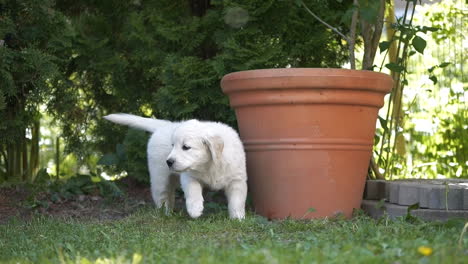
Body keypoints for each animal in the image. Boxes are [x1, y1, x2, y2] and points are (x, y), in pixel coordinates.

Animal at [103, 113, 249, 219]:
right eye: (172, 145)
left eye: (186, 147)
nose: (169, 162)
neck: (209, 164)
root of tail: (163, 126)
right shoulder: (189, 176)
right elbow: (193, 190)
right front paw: (195, 209)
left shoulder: (237, 179)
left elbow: (237, 200)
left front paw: (237, 218)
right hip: (159, 177)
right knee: (161, 195)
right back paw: (165, 213)